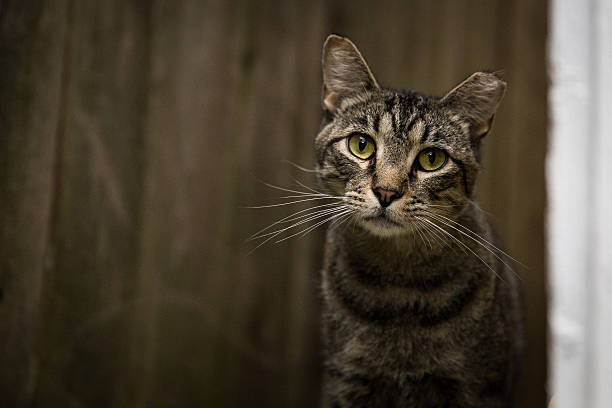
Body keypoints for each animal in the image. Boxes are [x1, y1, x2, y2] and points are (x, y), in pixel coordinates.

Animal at [316, 35, 520, 408]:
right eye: (361, 145)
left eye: (432, 159)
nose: (386, 191)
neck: (398, 285)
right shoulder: (346, 379)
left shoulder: (478, 385)